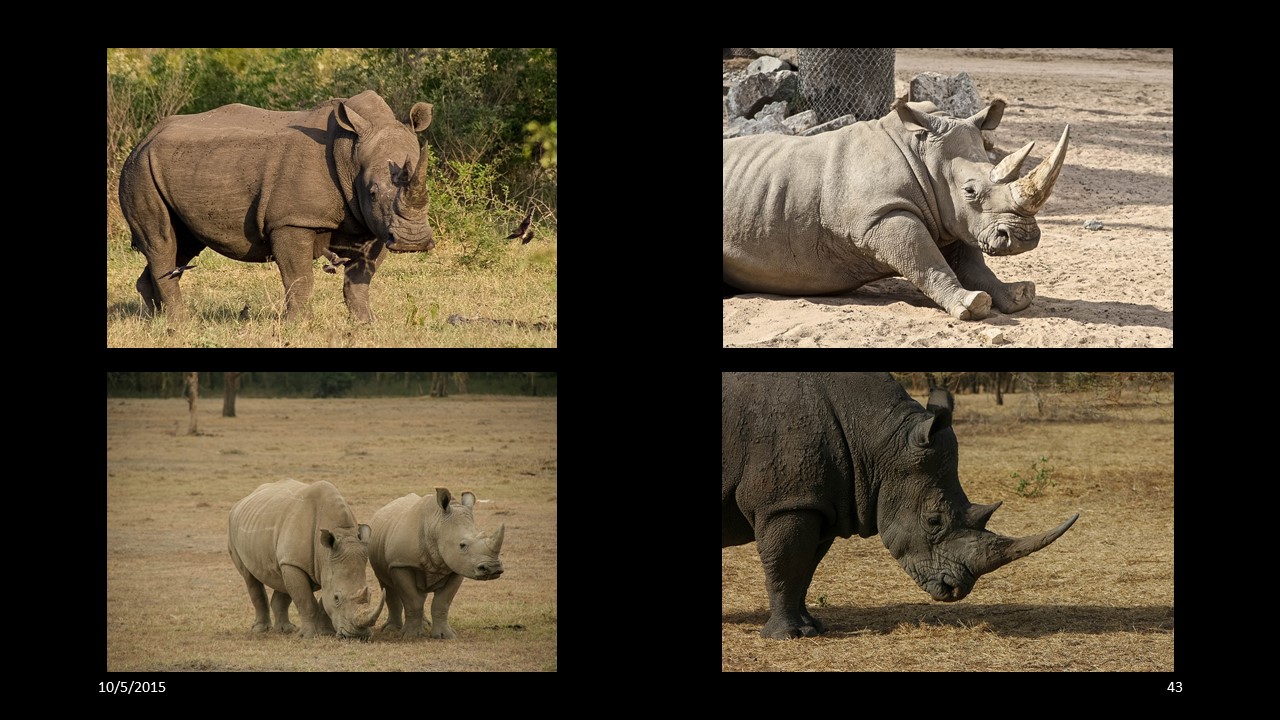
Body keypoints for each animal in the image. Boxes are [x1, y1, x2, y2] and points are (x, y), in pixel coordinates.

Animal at [119, 90, 436, 322]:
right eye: (372, 192)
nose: (412, 241)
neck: (350, 152)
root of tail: (144, 138)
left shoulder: (376, 226)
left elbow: (359, 280)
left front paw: (366, 324)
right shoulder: (292, 220)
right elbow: (299, 278)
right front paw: (301, 325)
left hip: (179, 165)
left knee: (181, 245)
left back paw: (156, 321)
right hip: (139, 168)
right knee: (162, 242)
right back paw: (180, 323)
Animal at [228, 479, 384, 639]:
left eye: (370, 595)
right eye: (336, 598)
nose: (358, 635)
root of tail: (243, 500)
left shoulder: (325, 567)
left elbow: (322, 601)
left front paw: (326, 633)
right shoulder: (297, 563)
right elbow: (306, 602)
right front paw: (309, 636)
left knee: (282, 579)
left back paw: (285, 629)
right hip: (233, 527)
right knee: (250, 577)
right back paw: (261, 630)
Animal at [368, 488, 505, 639]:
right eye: (462, 545)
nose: (493, 568)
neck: (436, 525)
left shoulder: (456, 566)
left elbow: (442, 603)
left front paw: (445, 635)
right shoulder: (401, 564)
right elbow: (412, 601)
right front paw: (411, 636)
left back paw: (424, 625)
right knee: (388, 587)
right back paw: (391, 630)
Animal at [722, 372, 1078, 639]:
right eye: (934, 520)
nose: (956, 589)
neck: (877, 438)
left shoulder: (820, 503)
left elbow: (804, 569)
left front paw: (813, 627)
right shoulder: (787, 503)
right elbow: (786, 565)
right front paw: (788, 636)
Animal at [723, 98, 1070, 320]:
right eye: (970, 191)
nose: (1024, 238)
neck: (922, 151)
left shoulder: (953, 219)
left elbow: (972, 263)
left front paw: (1019, 296)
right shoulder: (881, 215)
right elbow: (925, 260)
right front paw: (972, 306)